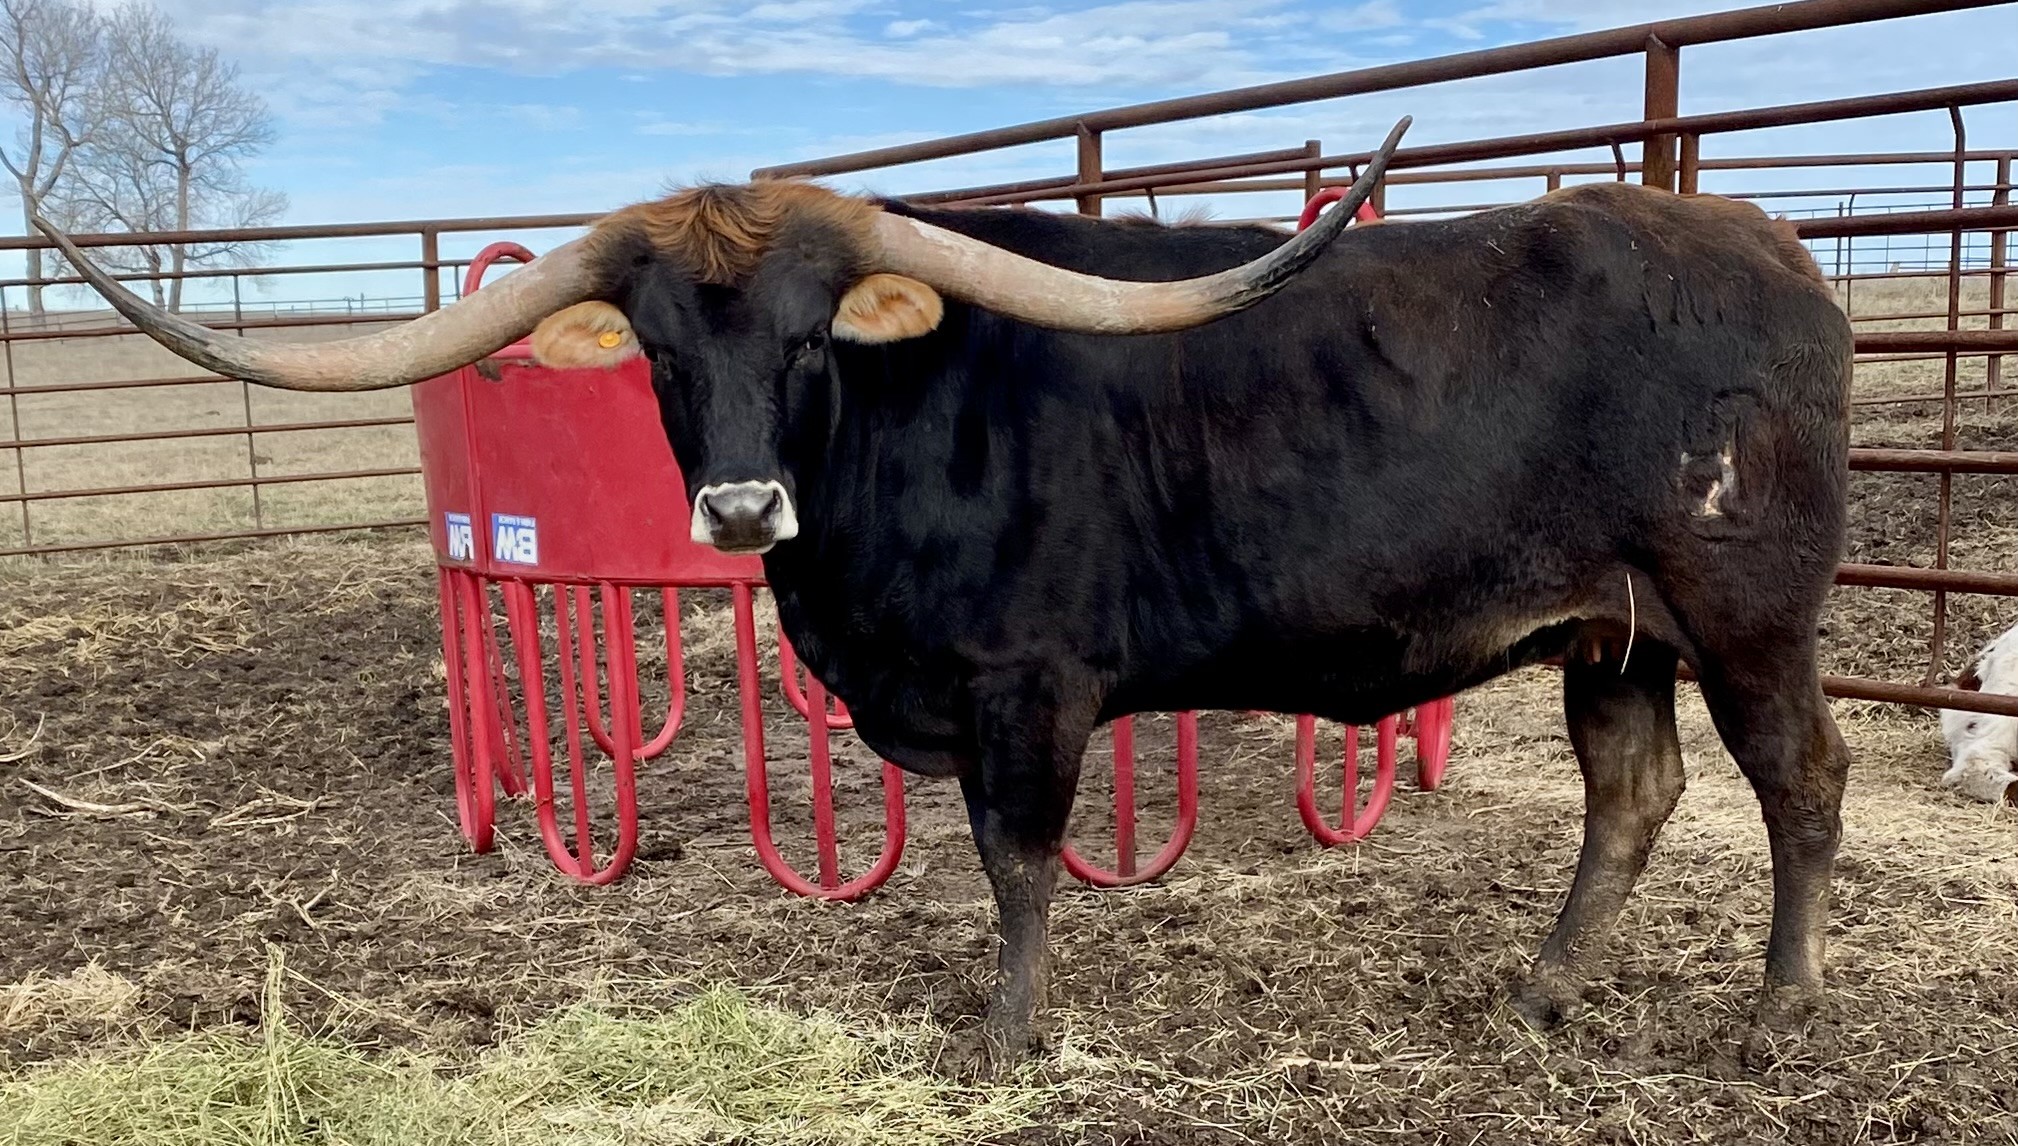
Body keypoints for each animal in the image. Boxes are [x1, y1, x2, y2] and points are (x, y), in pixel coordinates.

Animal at [40, 118, 1857, 1071]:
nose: (740, 500)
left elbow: (1016, 863)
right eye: (659, 349)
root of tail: (1759, 239)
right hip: (1607, 630)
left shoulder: (1026, 691)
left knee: (1798, 781)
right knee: (1631, 791)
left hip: (1744, 613)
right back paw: (1540, 991)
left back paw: (1776, 1013)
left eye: (806, 333)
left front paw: (1006, 1038)